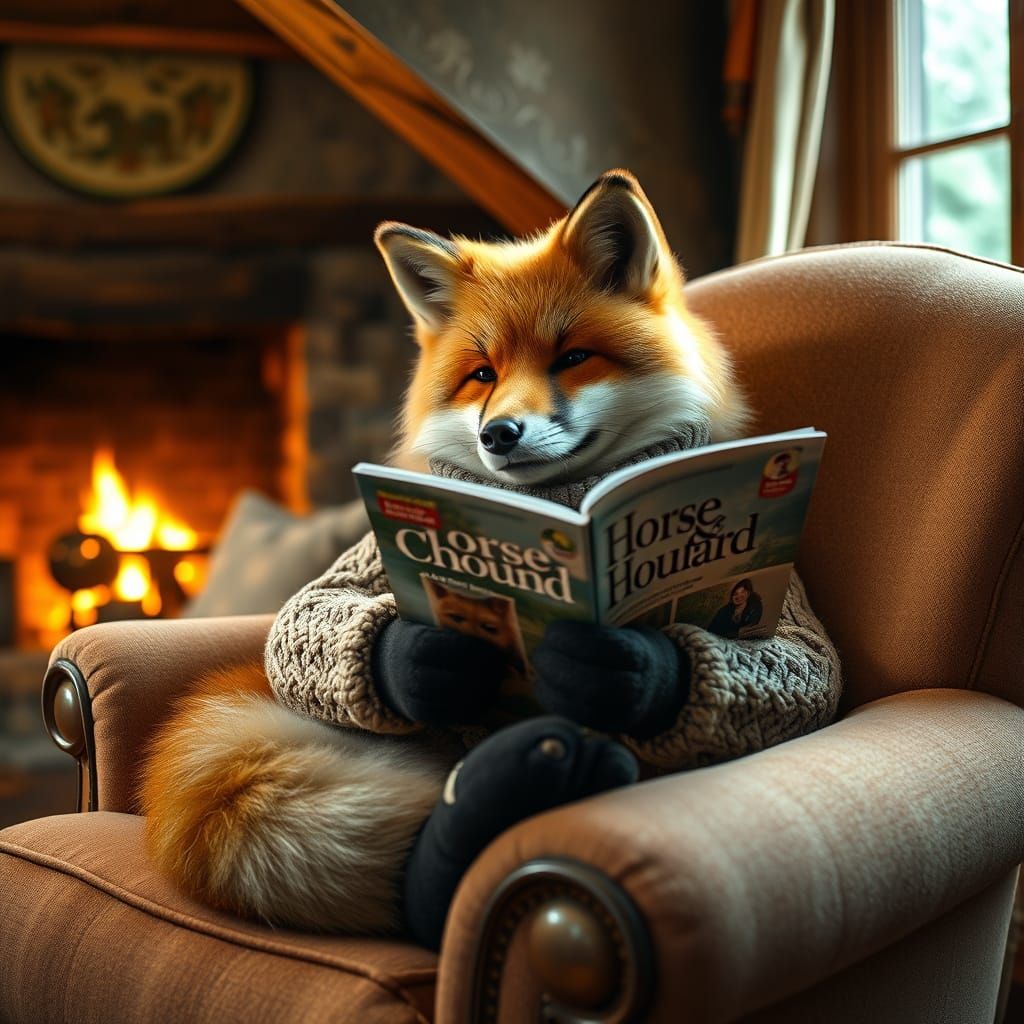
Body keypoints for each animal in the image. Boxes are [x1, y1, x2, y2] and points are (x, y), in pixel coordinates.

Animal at [141, 170, 754, 941]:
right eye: (482, 374)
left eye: (573, 357)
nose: (499, 434)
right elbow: (311, 605)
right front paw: (421, 660)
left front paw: (622, 669)